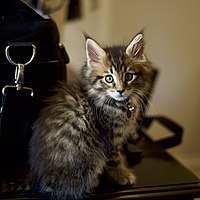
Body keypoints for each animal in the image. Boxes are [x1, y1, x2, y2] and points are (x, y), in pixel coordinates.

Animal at [28, 32, 153, 199]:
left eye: (129, 76)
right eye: (109, 78)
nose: (120, 90)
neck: (119, 105)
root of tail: (38, 179)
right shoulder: (109, 139)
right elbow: (116, 160)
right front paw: (124, 176)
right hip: (90, 157)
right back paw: (92, 182)